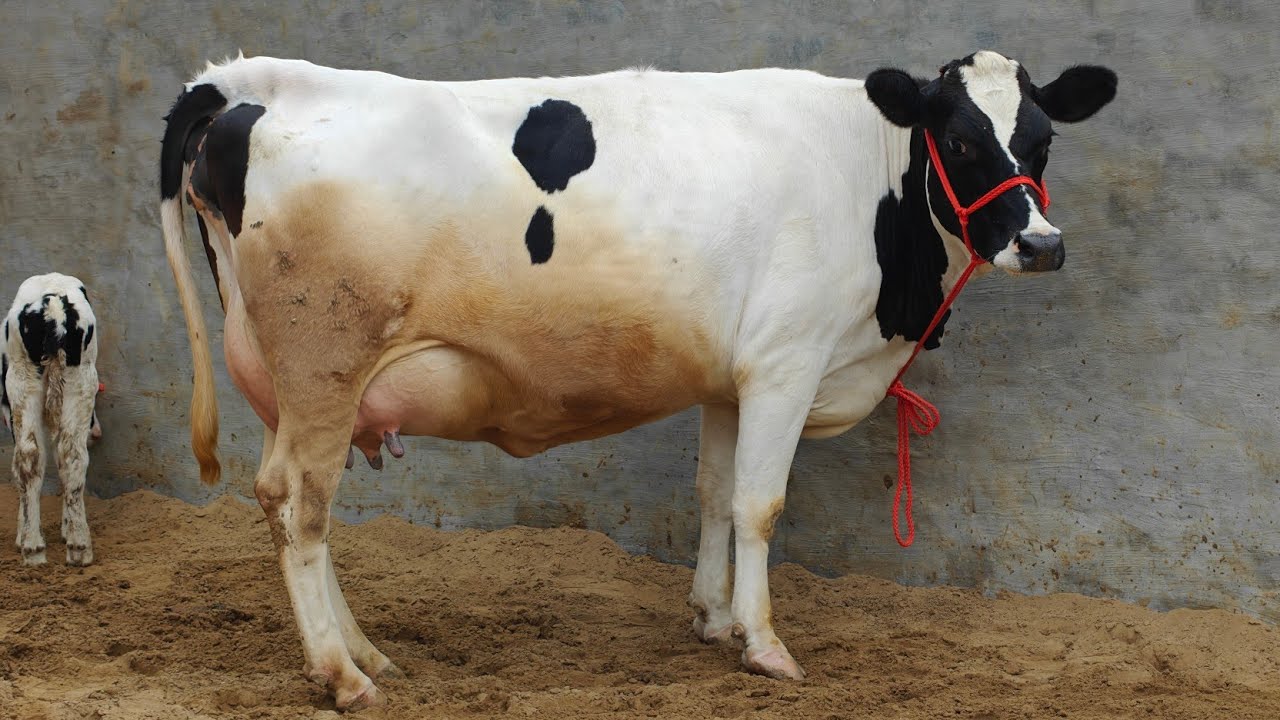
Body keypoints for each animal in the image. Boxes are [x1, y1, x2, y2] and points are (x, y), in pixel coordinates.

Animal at [3, 273, 101, 566]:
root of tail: (52, 302)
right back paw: (78, 547)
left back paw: (34, 548)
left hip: (23, 380)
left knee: (30, 455)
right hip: (81, 379)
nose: (96, 432)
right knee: (70, 455)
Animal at [158, 50, 1116, 709]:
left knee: (296, 512)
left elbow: (715, 494)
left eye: (1042, 140)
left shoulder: (730, 379)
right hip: (325, 366)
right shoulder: (786, 361)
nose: (1041, 244)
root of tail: (250, 83)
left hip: (296, 387)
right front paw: (766, 645)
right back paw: (341, 676)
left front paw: (715, 618)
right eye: (959, 138)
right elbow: (760, 505)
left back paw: (366, 653)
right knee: (298, 506)